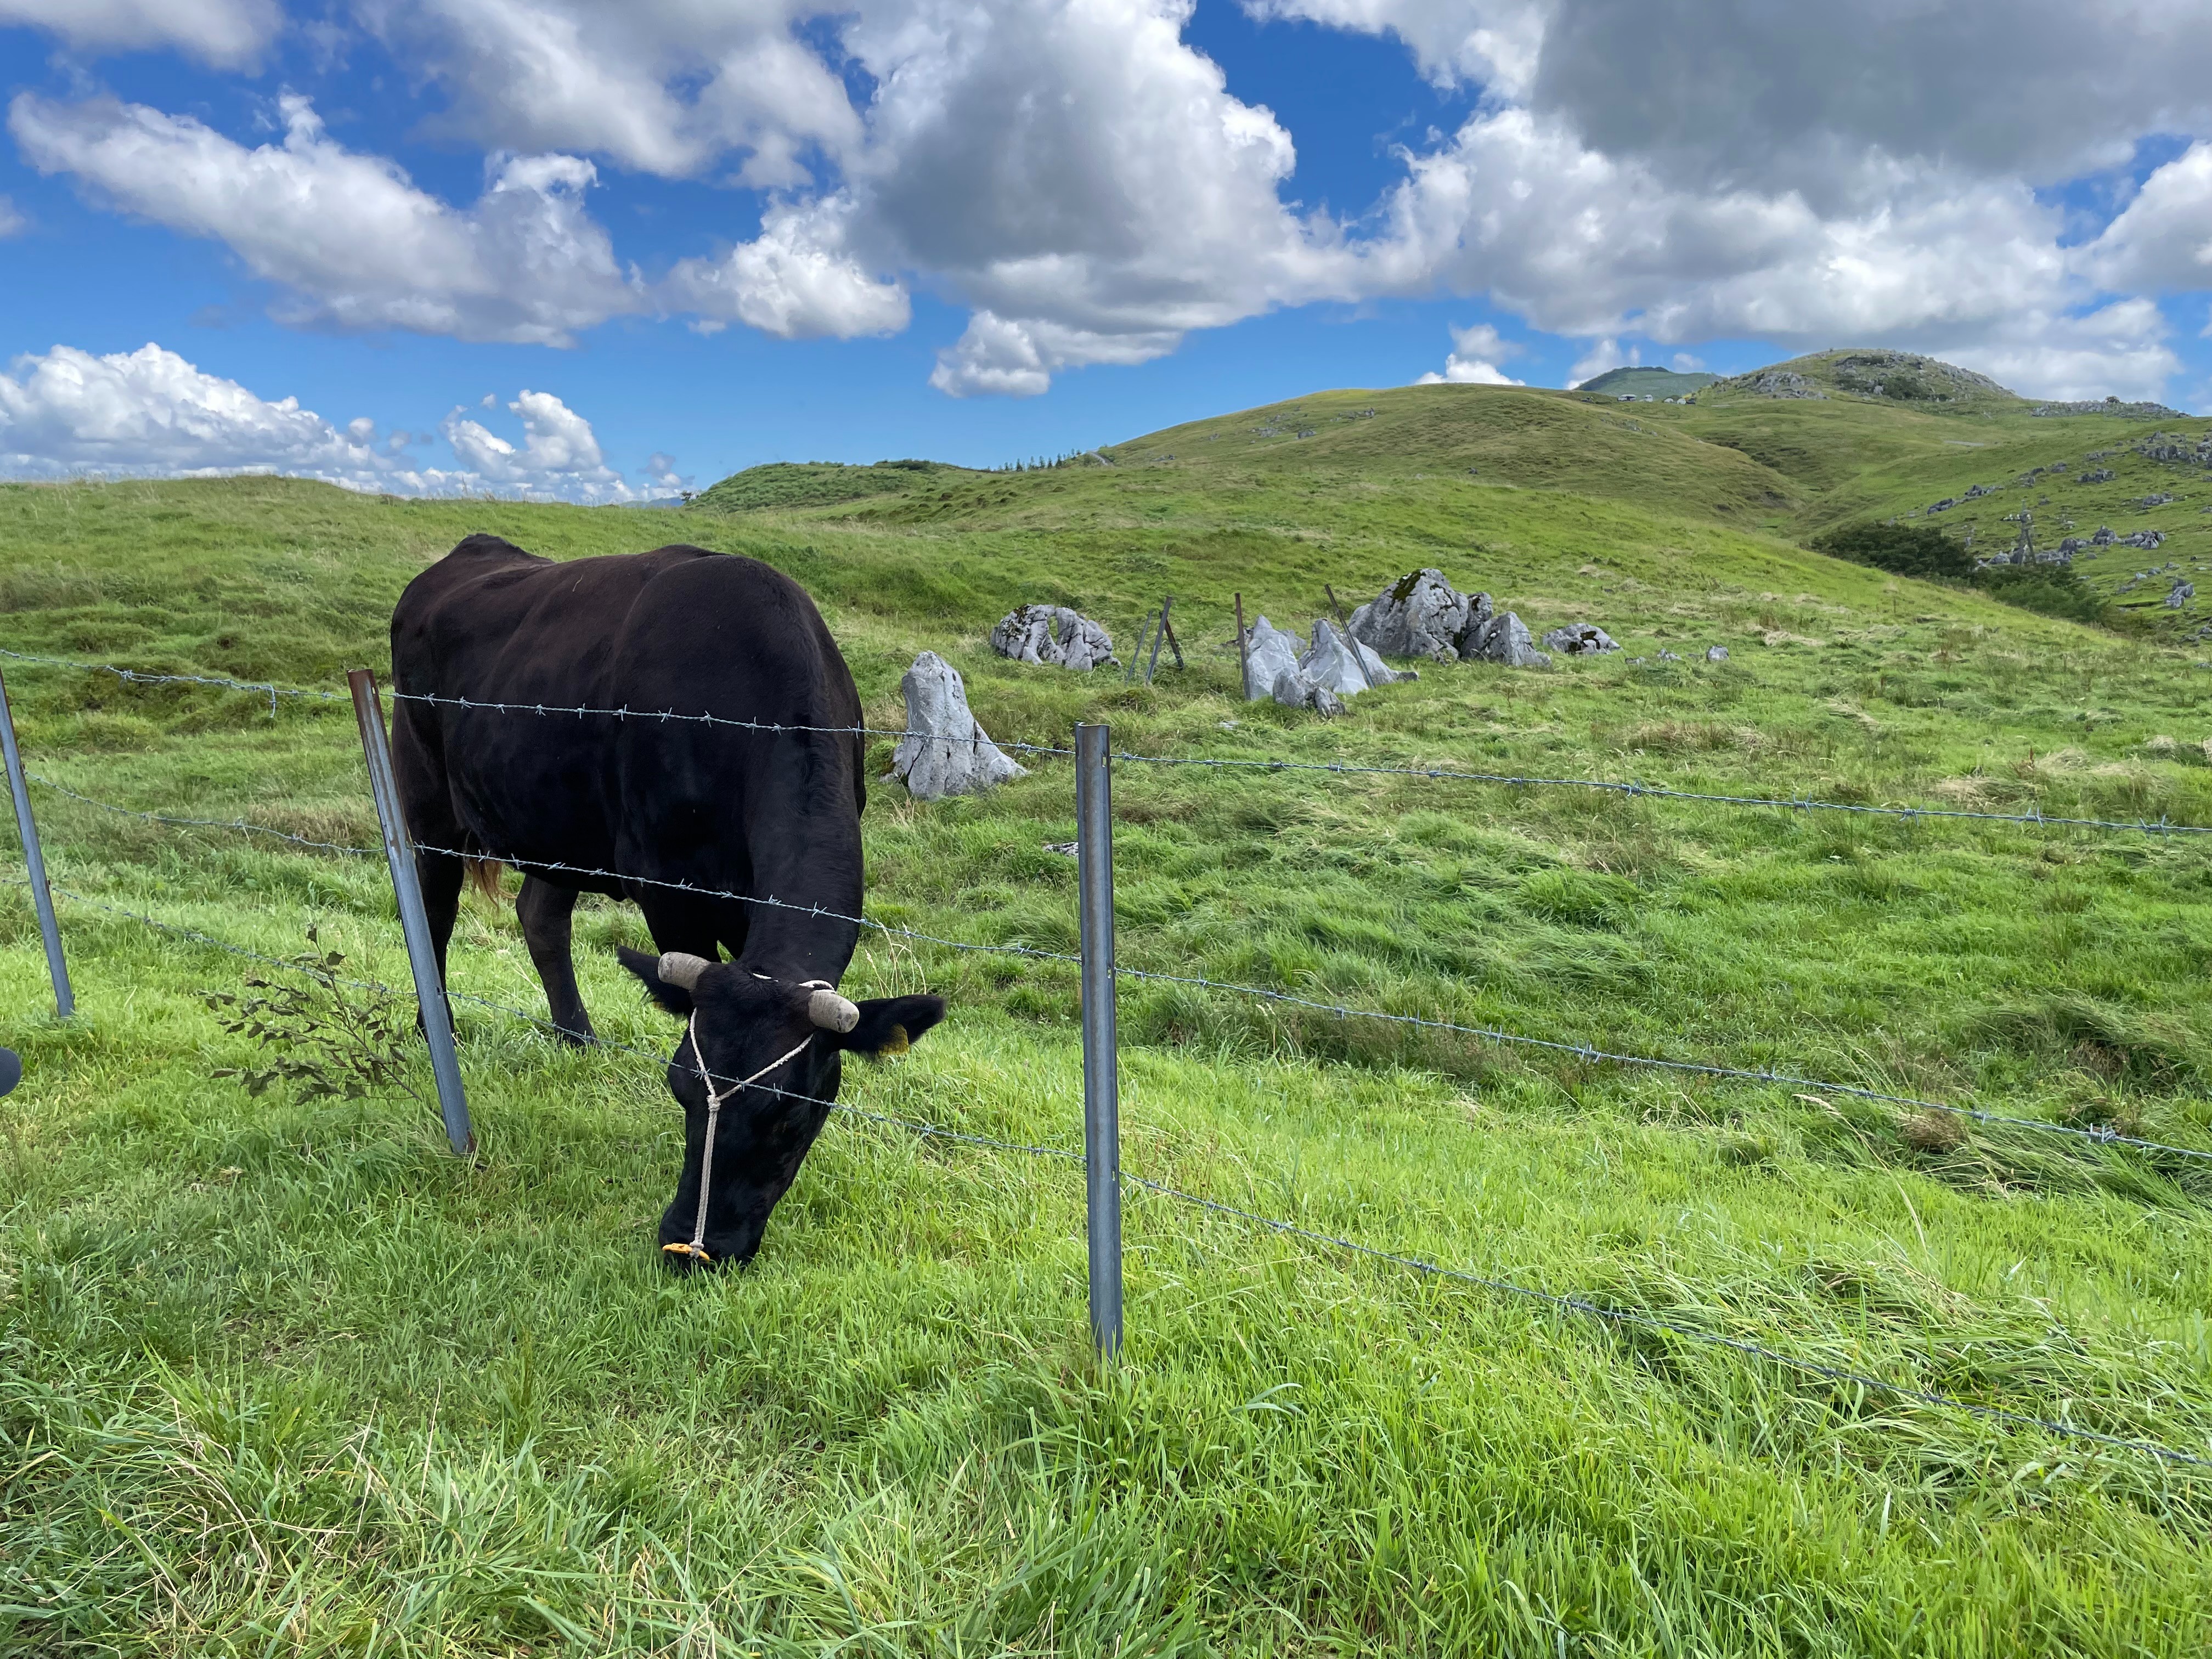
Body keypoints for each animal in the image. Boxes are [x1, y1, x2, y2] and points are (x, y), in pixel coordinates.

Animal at [389, 539, 942, 1265]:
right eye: (679, 1087)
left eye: (790, 1116)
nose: (695, 1247)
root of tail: (467, 553)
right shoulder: (667, 887)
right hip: (424, 793)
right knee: (434, 914)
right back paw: (438, 1030)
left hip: (561, 822)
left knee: (540, 917)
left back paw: (577, 1037)